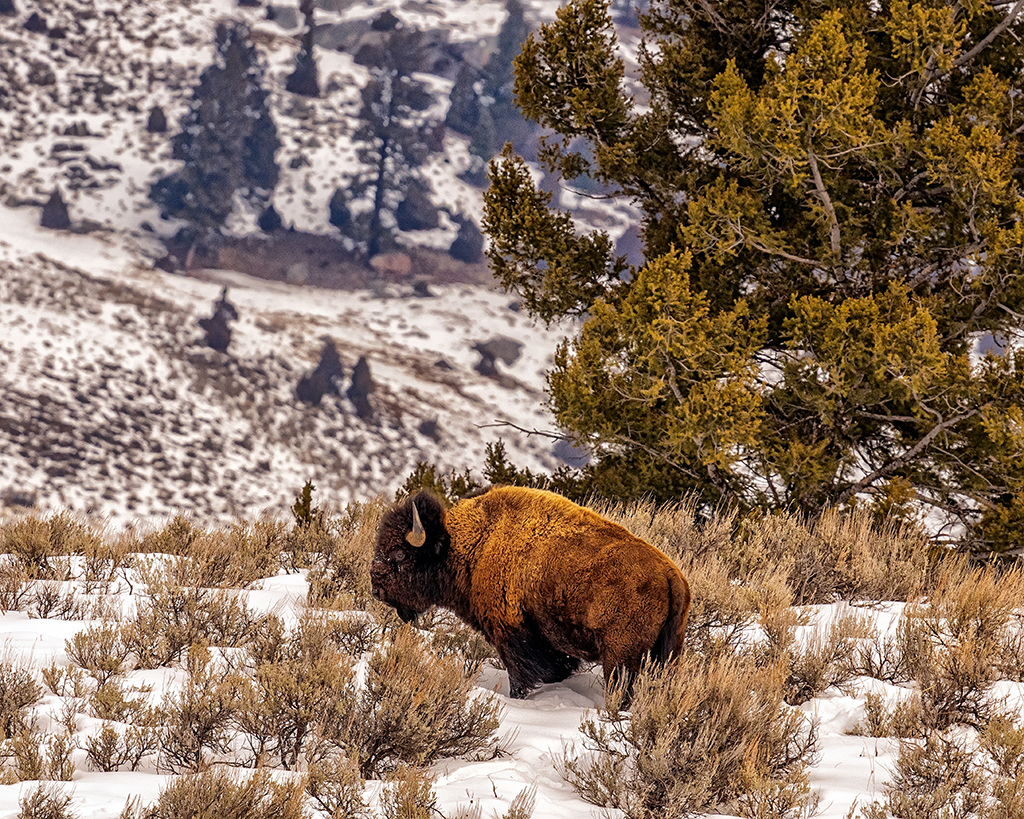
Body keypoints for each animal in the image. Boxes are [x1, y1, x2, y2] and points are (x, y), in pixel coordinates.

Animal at [371, 486, 690, 698]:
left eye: (399, 555)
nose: (376, 589)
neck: (472, 544)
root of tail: (670, 574)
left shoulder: (510, 634)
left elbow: (520, 676)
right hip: (668, 653)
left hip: (620, 656)